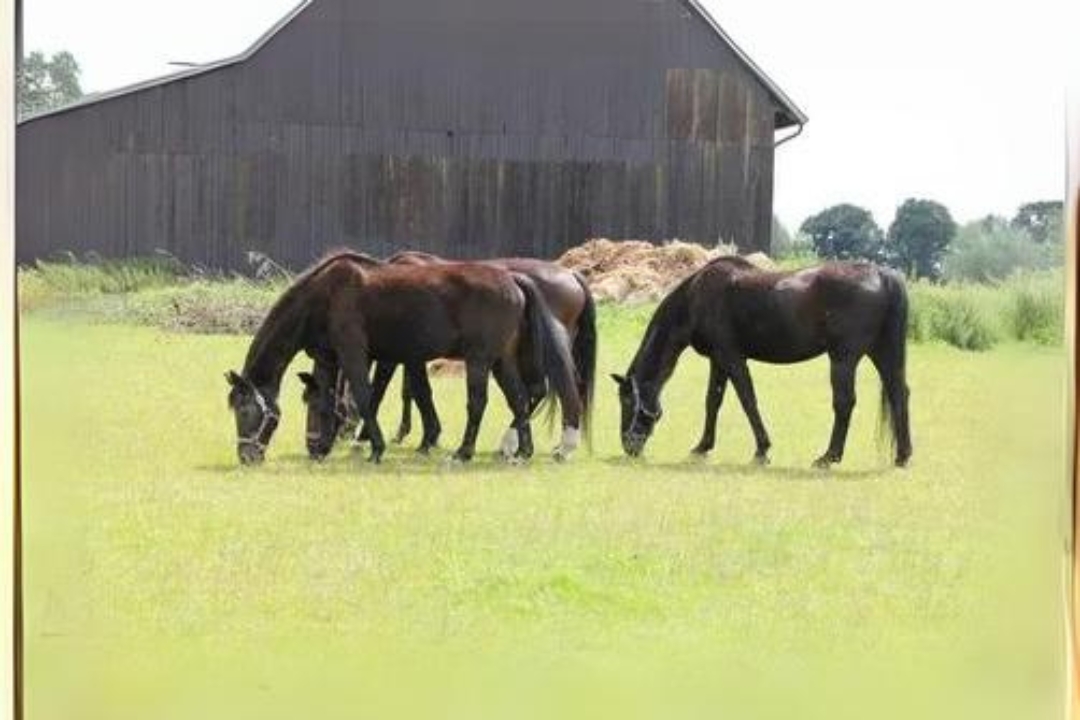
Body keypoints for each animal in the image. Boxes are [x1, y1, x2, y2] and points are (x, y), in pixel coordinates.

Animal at [225, 253, 583, 464]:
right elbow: (327, 399)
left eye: (245, 410)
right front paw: (324, 446)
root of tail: (514, 280)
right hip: (502, 360)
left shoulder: (354, 354)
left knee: (479, 403)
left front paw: (375, 448)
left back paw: (464, 452)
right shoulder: (329, 359)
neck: (325, 295)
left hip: (479, 360)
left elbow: (366, 396)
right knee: (519, 399)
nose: (246, 455)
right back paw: (522, 451)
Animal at [613, 255, 907, 470]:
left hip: (843, 358)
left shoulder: (731, 357)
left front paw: (761, 451)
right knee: (898, 394)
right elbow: (713, 401)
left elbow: (747, 400)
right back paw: (902, 456)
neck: (695, 298)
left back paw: (828, 457)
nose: (629, 446)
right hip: (882, 354)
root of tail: (882, 275)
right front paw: (701, 448)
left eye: (626, 400)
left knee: (844, 402)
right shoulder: (718, 361)